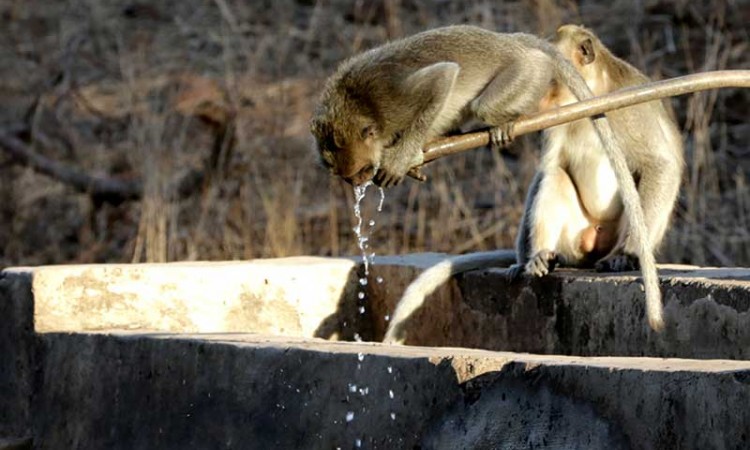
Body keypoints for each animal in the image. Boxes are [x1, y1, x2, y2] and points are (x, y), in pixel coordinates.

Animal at [382, 25, 680, 344]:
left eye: (551, 77)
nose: (535, 98)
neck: (592, 96)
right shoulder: (556, 118)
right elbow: (548, 169)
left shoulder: (630, 107)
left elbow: (659, 164)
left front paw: (627, 254)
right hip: (574, 237)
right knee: (555, 178)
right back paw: (539, 257)